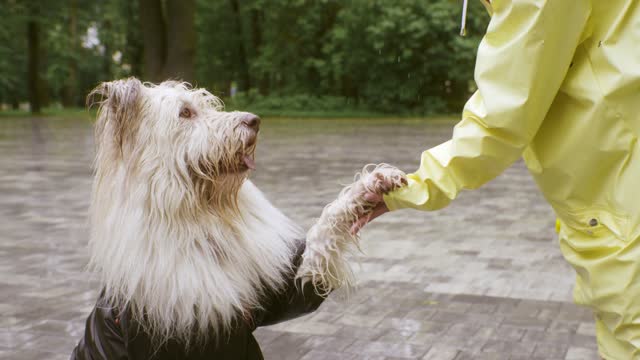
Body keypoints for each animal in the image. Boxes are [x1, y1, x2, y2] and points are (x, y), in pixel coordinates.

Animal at [70, 79, 404, 360]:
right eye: (185, 112)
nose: (254, 120)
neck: (201, 221)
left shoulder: (281, 291)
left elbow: (322, 237)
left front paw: (373, 186)